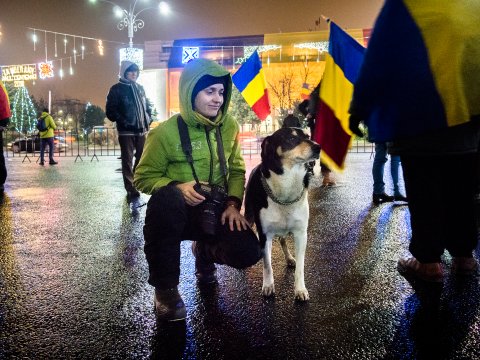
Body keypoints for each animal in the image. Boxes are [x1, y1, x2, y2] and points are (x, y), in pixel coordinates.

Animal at [246, 127, 320, 300]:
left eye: (307, 136)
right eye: (290, 139)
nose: (318, 147)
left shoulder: (301, 234)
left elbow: (300, 267)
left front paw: (300, 289)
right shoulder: (264, 235)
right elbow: (267, 264)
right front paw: (268, 286)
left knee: (283, 240)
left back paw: (289, 258)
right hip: (249, 216)